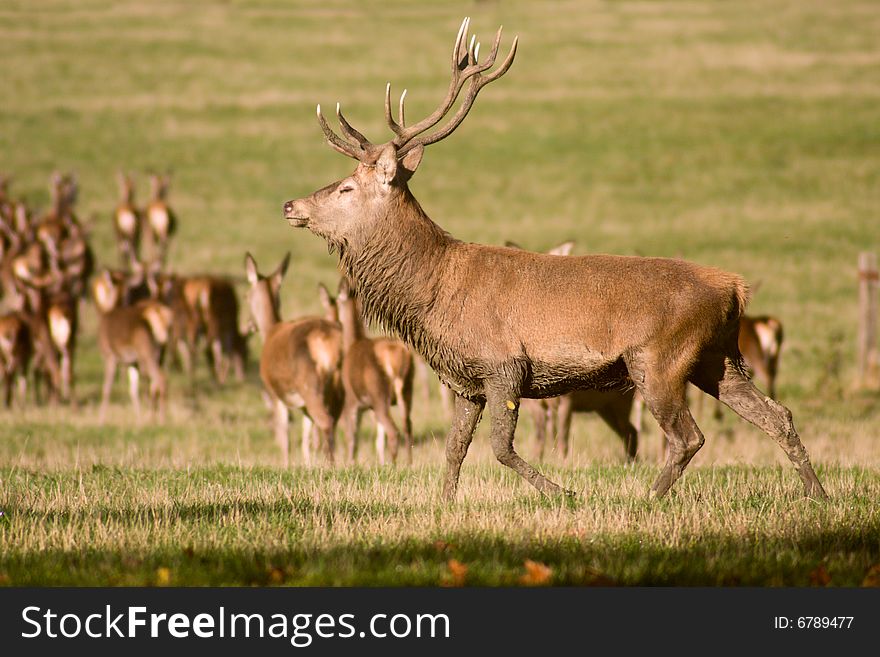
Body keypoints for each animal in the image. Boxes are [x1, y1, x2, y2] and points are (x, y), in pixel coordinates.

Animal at [248, 251, 348, 466]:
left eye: (245, 295)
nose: (250, 325)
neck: (270, 332)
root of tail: (330, 343)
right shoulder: (302, 406)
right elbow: (305, 436)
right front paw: (307, 464)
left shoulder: (275, 391)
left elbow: (284, 432)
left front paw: (285, 464)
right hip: (338, 387)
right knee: (333, 421)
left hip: (309, 385)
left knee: (326, 421)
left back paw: (331, 465)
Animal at [334, 280, 416, 464]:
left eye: (337, 300)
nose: (336, 321)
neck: (352, 344)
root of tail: (397, 360)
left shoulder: (351, 402)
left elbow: (352, 438)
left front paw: (350, 463)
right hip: (407, 390)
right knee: (407, 427)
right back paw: (408, 464)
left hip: (379, 393)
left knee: (393, 431)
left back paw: (394, 465)